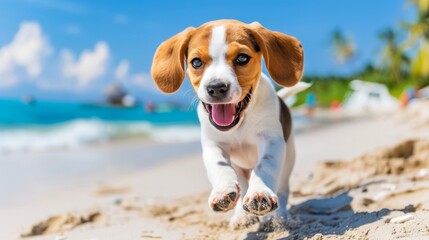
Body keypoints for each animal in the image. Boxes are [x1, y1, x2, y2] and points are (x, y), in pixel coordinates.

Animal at [150, 19, 304, 230]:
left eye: (242, 58)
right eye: (196, 62)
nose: (216, 88)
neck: (239, 125)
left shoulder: (271, 141)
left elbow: (264, 167)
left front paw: (260, 192)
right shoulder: (213, 145)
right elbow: (219, 167)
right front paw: (223, 191)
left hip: (288, 161)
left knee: (282, 190)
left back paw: (279, 217)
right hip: (240, 170)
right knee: (243, 187)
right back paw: (242, 216)